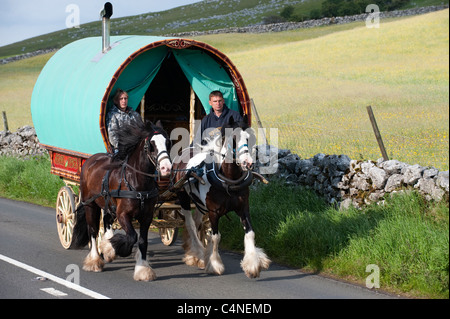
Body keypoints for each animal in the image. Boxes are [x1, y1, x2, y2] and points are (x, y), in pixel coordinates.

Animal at [73, 119, 171, 282]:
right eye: (151, 144)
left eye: (168, 143)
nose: (166, 168)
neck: (136, 183)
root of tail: (91, 159)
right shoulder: (123, 215)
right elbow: (132, 237)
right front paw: (112, 249)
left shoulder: (147, 216)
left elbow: (142, 241)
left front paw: (142, 269)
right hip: (90, 205)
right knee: (92, 230)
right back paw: (94, 261)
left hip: (107, 204)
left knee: (106, 221)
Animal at [172, 117, 270, 280]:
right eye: (233, 138)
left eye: (250, 137)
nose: (248, 162)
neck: (229, 180)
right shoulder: (214, 212)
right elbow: (215, 237)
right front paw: (214, 264)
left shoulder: (243, 208)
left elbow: (250, 233)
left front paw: (253, 265)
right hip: (184, 198)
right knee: (190, 224)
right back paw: (197, 253)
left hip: (200, 205)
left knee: (197, 223)